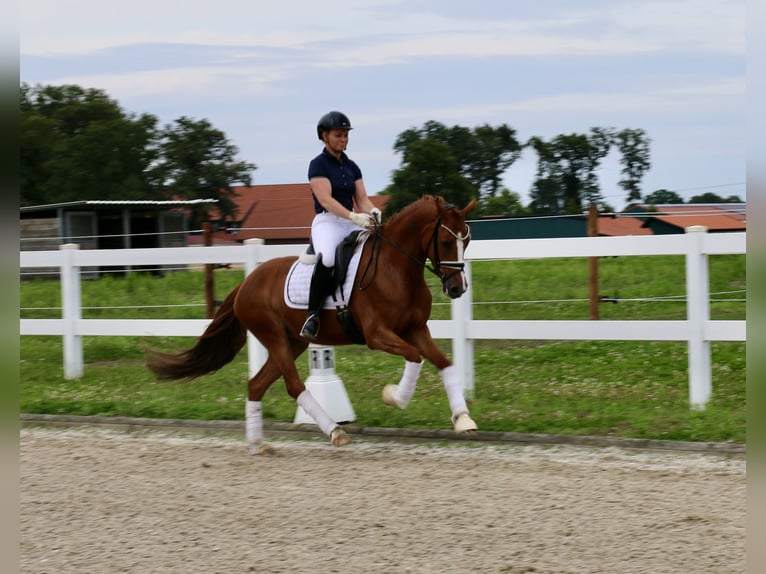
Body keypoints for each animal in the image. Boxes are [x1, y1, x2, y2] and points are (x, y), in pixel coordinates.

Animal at [146, 196, 480, 456]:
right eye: (446, 241)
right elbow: (414, 356)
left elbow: (443, 362)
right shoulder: (378, 335)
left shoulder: (416, 329)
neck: (396, 269)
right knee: (294, 386)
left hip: (293, 342)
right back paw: (334, 431)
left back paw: (258, 444)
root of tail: (246, 283)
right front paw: (394, 397)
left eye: (467, 241)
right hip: (275, 337)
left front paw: (463, 419)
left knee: (256, 385)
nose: (457, 289)